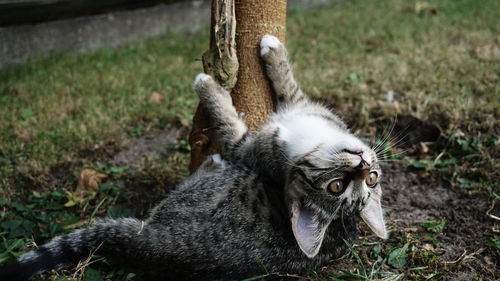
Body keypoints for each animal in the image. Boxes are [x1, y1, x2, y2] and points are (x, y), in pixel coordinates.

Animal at [0, 35, 386, 280]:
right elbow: (288, 83)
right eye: (341, 185)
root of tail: (151, 245)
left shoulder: (246, 149)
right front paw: (274, 51)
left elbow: (229, 124)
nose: (364, 164)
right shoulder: (300, 108)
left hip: (221, 182)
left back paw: (209, 162)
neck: (308, 139)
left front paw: (208, 86)